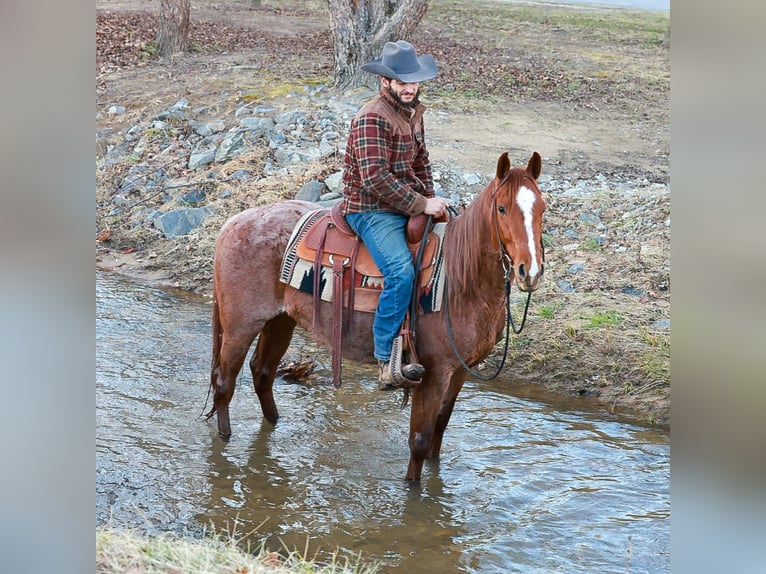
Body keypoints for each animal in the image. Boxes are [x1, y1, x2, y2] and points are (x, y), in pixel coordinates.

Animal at [207, 151, 546, 481]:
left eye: (542, 208)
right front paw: (413, 490)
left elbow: (440, 428)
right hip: (240, 326)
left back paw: (274, 426)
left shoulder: (461, 371)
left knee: (262, 373)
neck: (459, 280)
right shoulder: (433, 373)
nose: (529, 271)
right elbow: (420, 441)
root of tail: (234, 222)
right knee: (224, 383)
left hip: (280, 321)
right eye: (501, 209)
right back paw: (224, 442)